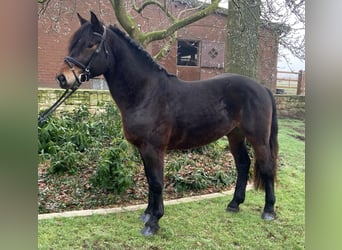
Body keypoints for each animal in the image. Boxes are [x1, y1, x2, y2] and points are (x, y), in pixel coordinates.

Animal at [56, 12, 278, 236]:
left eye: (91, 45)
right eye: (74, 44)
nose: (62, 78)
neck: (147, 93)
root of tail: (263, 88)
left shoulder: (154, 148)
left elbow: (156, 182)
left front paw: (153, 222)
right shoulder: (143, 149)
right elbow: (149, 179)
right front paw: (147, 214)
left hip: (258, 138)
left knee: (267, 166)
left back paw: (268, 210)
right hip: (235, 135)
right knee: (243, 164)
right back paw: (234, 204)